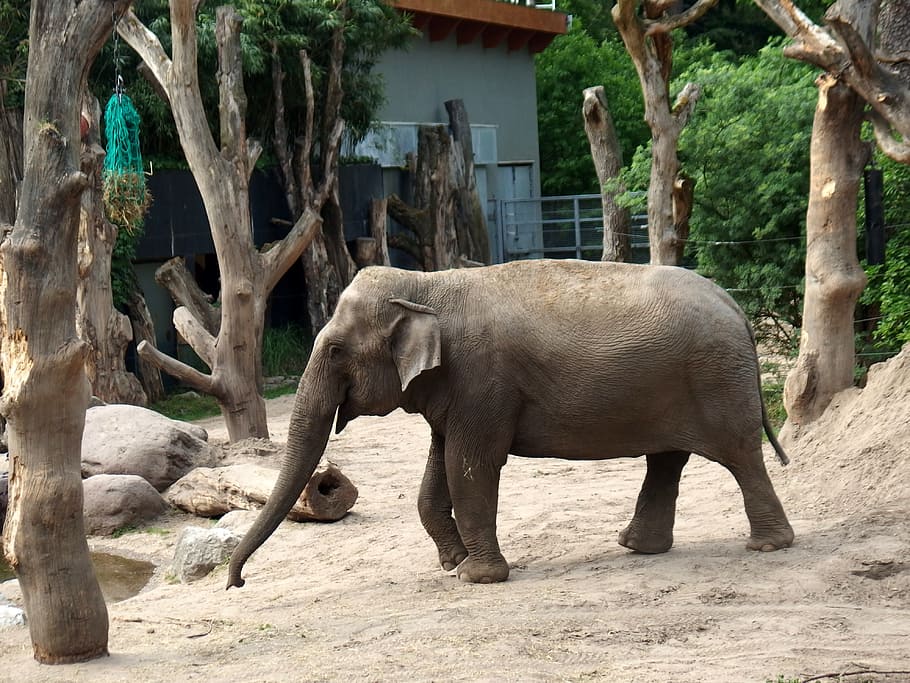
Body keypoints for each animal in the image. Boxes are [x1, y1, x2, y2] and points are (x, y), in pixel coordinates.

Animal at [227, 259, 794, 587]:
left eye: (335, 350)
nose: (237, 583)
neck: (429, 286)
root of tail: (734, 304)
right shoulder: (454, 391)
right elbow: (436, 474)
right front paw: (453, 564)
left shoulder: (482, 381)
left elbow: (470, 467)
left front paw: (476, 577)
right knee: (668, 460)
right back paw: (637, 547)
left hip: (717, 379)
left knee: (740, 455)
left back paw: (769, 546)